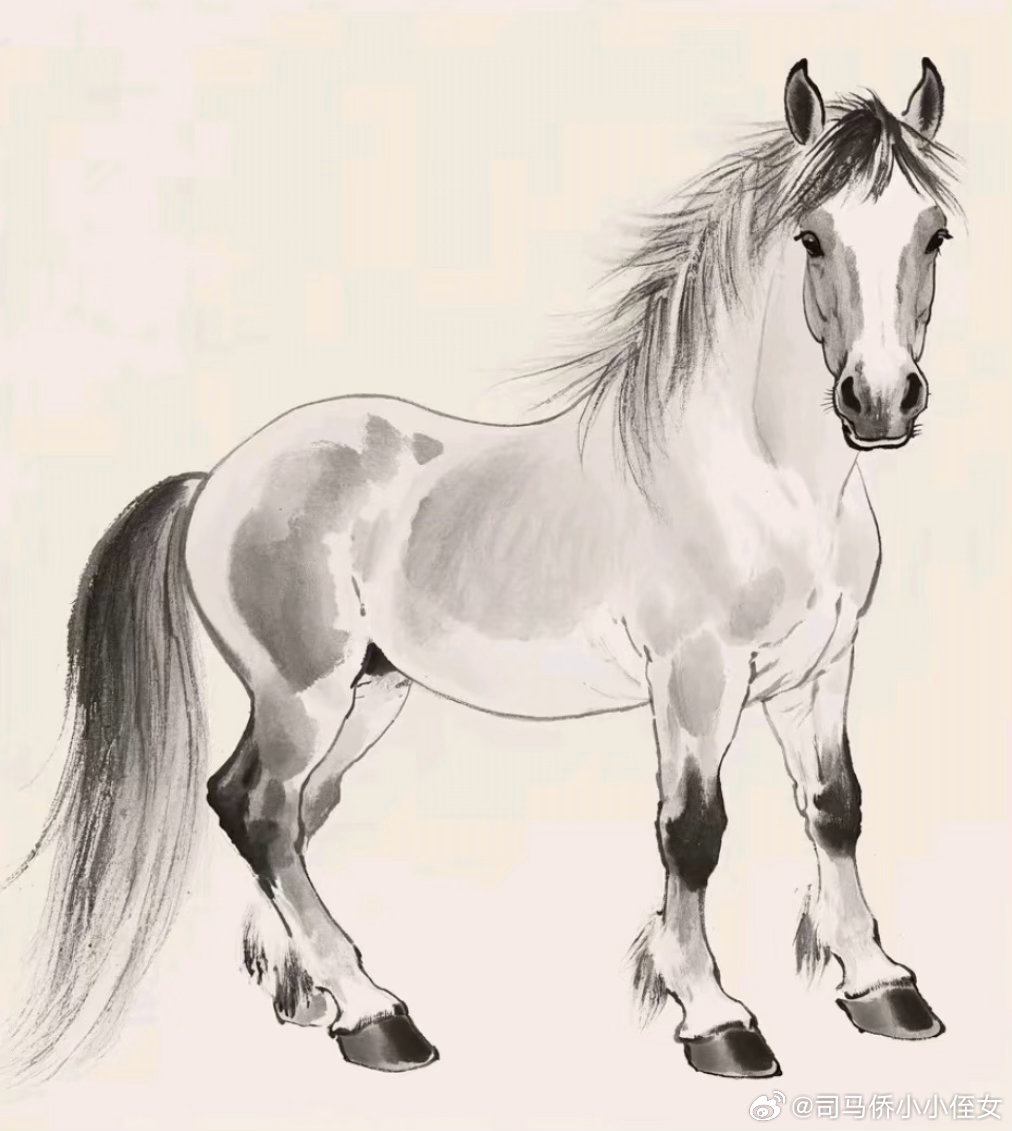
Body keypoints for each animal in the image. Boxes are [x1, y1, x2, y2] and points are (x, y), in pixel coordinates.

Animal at [3, 58, 960, 1083]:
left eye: (933, 233)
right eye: (811, 237)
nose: (880, 401)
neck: (761, 481)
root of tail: (215, 478)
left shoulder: (817, 673)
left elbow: (835, 808)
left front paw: (883, 987)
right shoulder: (696, 680)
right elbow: (693, 832)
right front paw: (715, 1017)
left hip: (369, 688)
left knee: (285, 807)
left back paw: (307, 993)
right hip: (303, 690)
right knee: (259, 808)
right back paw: (377, 1013)